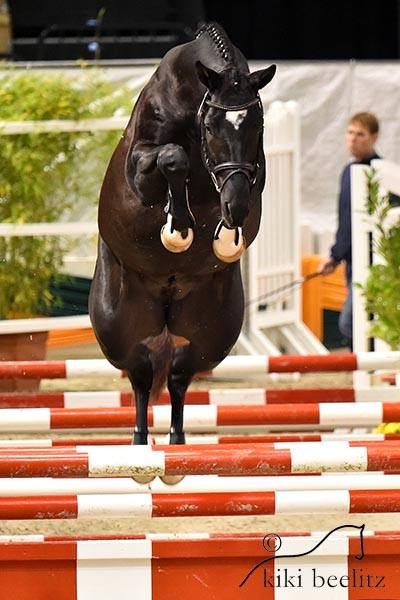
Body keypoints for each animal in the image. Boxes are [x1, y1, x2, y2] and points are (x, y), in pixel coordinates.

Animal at [88, 22, 276, 482]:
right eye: (212, 126)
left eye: (257, 124)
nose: (236, 208)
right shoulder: (143, 166)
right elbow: (172, 158)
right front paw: (179, 229)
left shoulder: (251, 174)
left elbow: (243, 187)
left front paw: (226, 236)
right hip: (118, 326)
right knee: (140, 377)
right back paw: (141, 454)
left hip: (213, 330)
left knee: (178, 377)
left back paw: (177, 451)